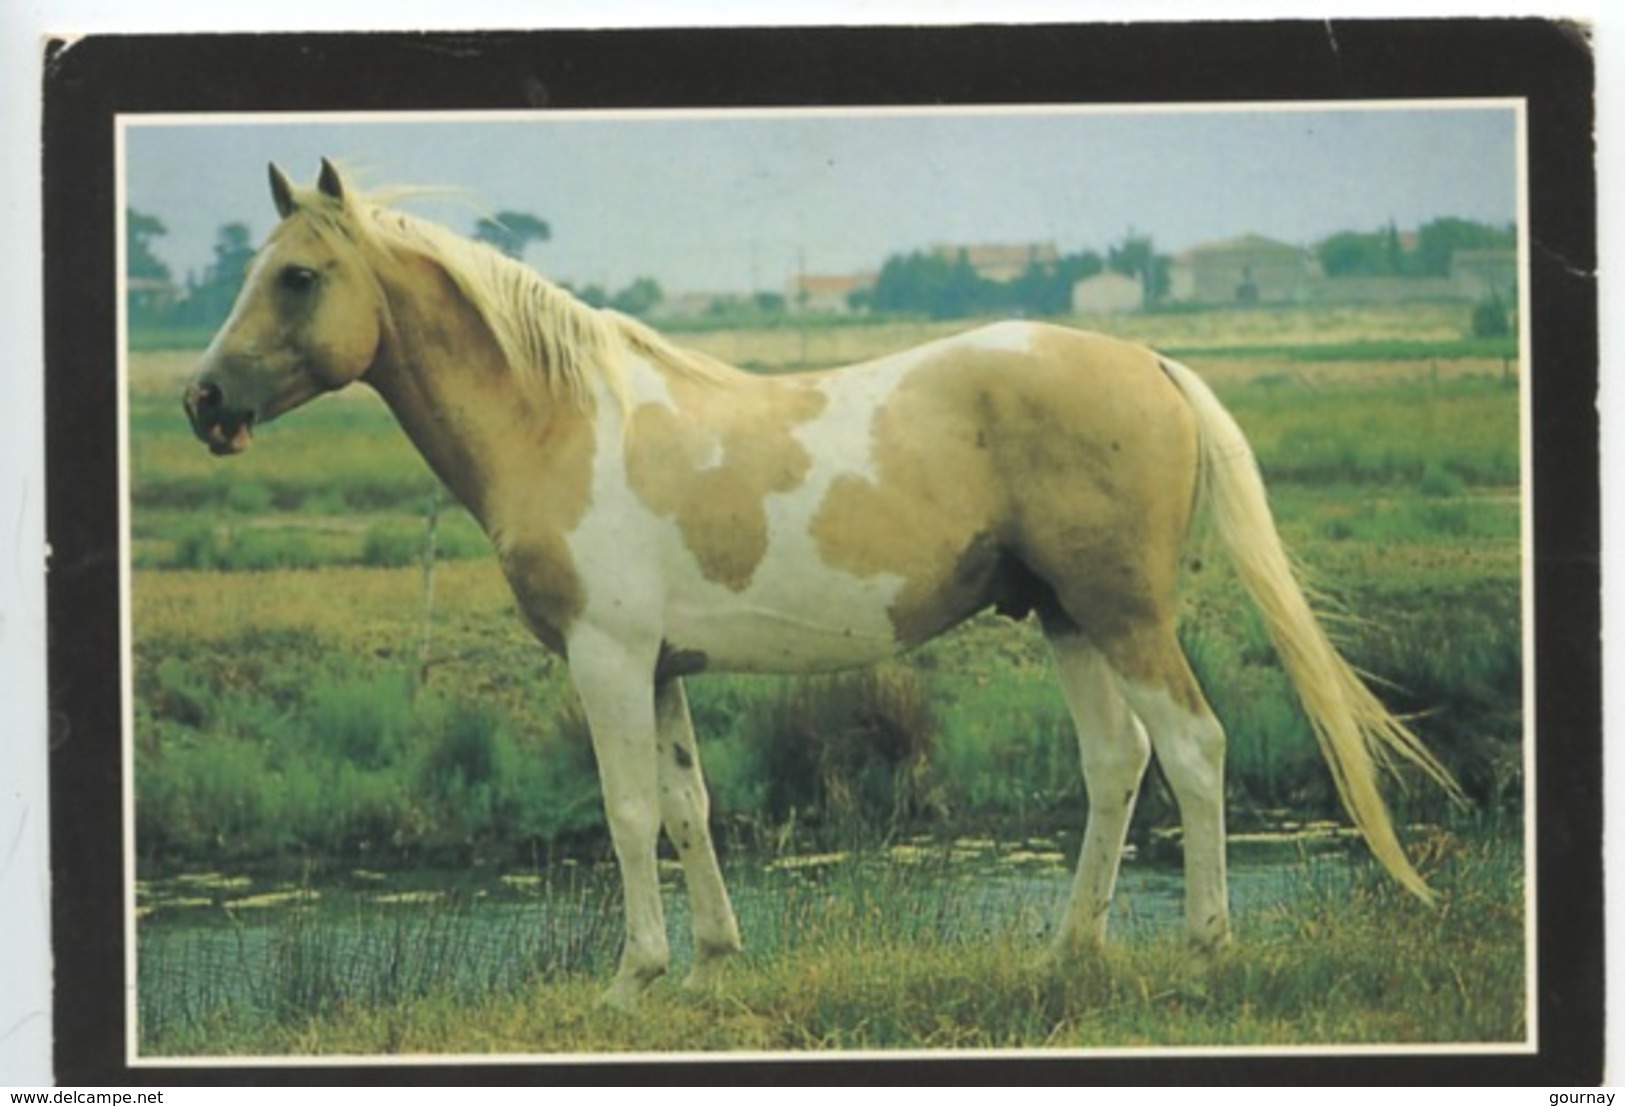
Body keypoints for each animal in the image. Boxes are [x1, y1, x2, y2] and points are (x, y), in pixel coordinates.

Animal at [186, 161, 1462, 1006]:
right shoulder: (659, 667)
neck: (562, 420)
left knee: (1193, 750)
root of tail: (1145, 358)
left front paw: (630, 976)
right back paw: (1068, 950)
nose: (203, 402)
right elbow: (689, 807)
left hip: (1123, 614)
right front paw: (711, 963)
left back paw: (1202, 946)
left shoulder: (606, 660)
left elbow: (626, 811)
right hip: (1064, 618)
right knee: (1118, 762)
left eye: (297, 276)